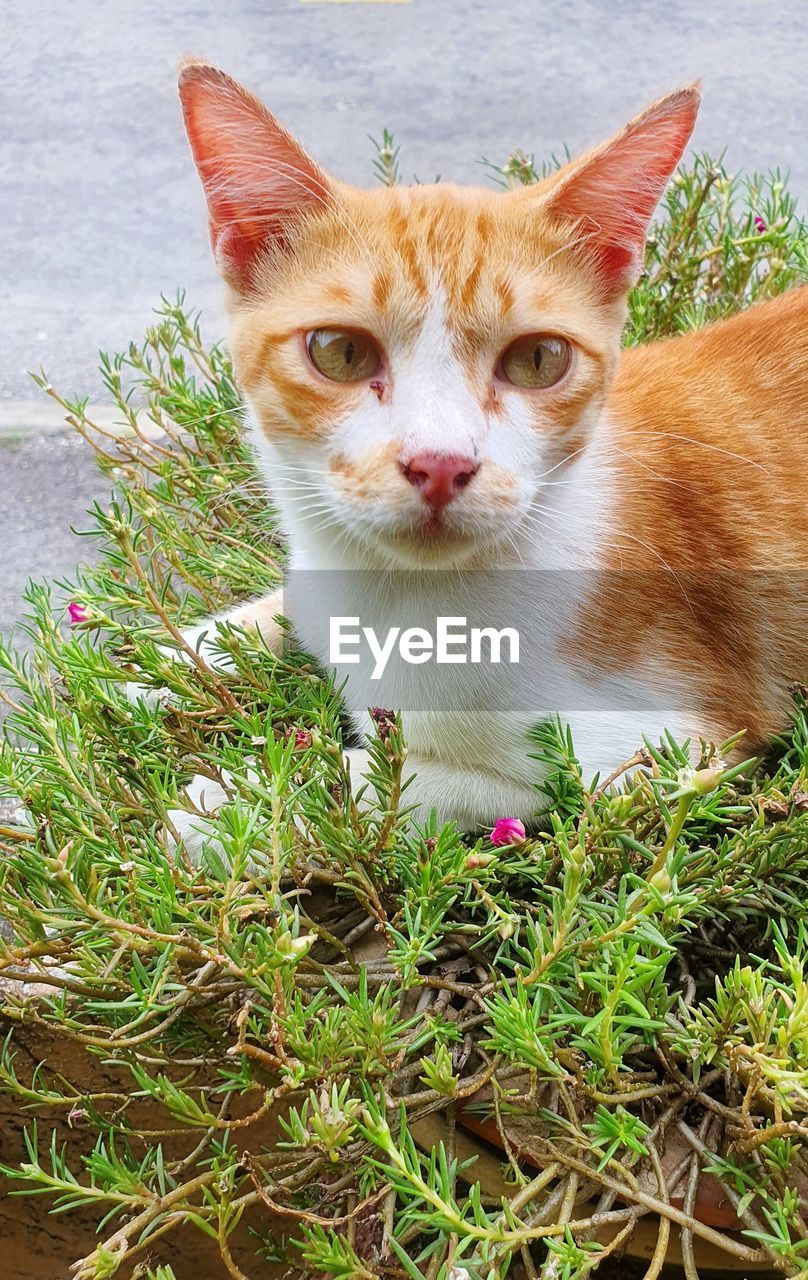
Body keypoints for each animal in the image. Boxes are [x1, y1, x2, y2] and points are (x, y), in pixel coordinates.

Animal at [166, 64, 808, 834]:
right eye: (340, 352)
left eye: (538, 360)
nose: (441, 464)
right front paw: (165, 654)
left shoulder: (667, 749)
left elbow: (416, 785)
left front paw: (241, 803)